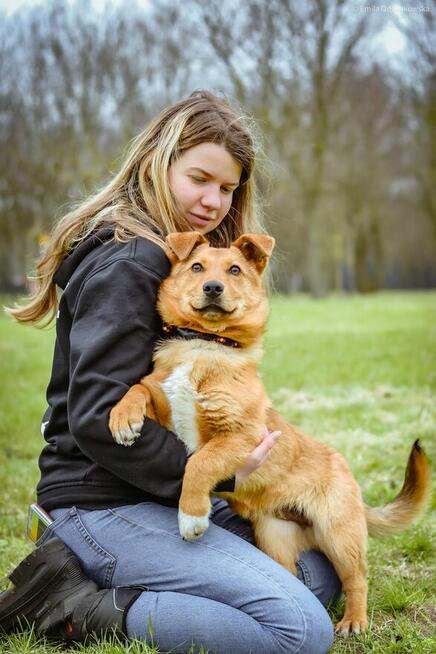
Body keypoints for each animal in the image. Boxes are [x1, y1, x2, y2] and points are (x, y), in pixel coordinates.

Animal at [108, 233, 430, 640]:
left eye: (234, 270)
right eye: (197, 267)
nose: (212, 288)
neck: (203, 345)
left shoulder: (241, 436)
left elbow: (199, 463)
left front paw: (191, 517)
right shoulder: (164, 408)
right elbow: (138, 388)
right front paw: (122, 418)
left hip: (339, 534)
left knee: (357, 579)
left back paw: (354, 620)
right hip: (274, 539)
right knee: (292, 580)